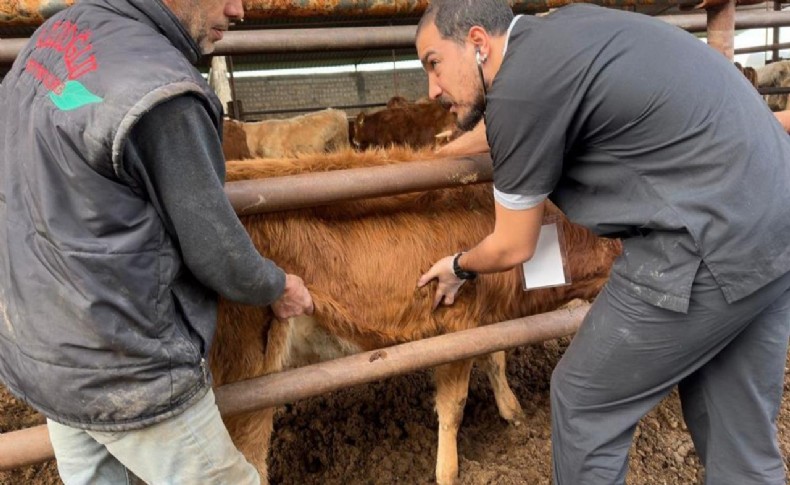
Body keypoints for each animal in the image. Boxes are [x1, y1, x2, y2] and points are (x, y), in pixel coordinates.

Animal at [212, 148, 624, 484]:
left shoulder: (489, 322)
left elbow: (497, 358)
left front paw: (514, 412)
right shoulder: (456, 329)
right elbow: (454, 406)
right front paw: (448, 473)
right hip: (249, 375)